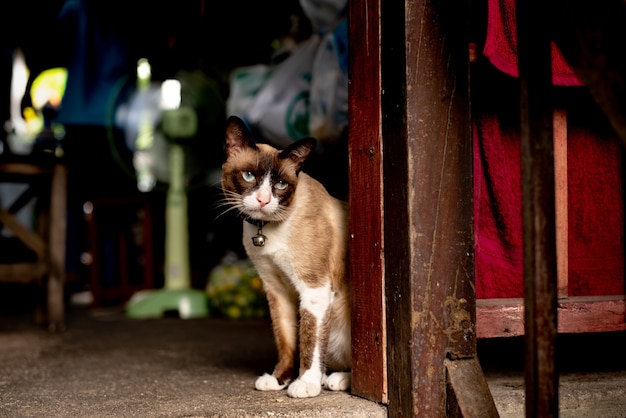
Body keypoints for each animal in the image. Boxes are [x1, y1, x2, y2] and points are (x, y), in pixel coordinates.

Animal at [219, 116, 348, 396]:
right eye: (249, 176)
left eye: (280, 185)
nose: (263, 200)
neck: (264, 230)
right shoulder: (276, 289)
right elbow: (286, 340)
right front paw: (280, 380)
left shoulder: (314, 288)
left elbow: (309, 341)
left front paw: (305, 384)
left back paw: (335, 380)